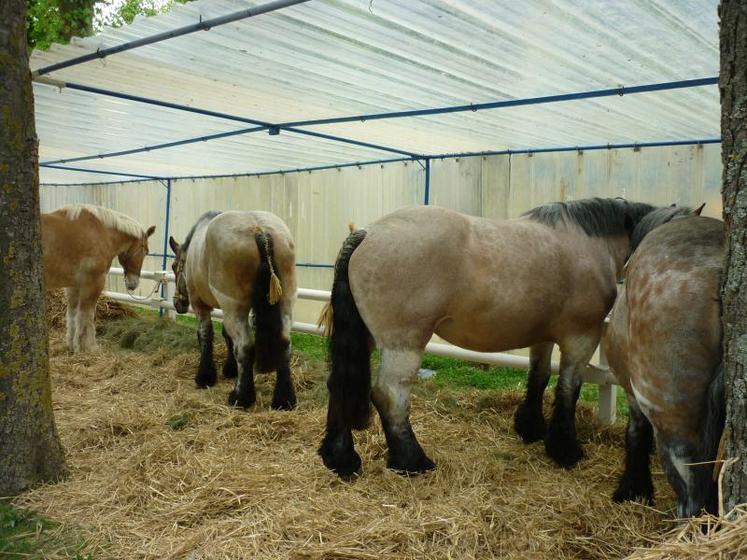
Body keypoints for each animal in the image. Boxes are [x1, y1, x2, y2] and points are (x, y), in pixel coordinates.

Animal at [41, 204, 156, 353]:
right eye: (145, 251)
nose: (133, 284)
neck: (100, 231)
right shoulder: (93, 283)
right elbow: (87, 316)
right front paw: (89, 347)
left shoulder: (74, 285)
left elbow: (73, 315)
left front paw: (73, 345)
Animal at [168, 210, 297, 410]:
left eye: (174, 267)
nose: (178, 302)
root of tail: (260, 231)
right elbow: (226, 335)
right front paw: (230, 369)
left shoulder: (200, 305)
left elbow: (205, 334)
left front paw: (205, 376)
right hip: (285, 302)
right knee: (284, 343)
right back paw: (284, 399)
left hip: (234, 307)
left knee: (245, 347)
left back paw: (241, 397)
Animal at [318, 197, 693, 477]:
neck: (589, 244)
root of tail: (367, 233)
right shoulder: (581, 338)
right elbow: (567, 390)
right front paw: (566, 450)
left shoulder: (542, 336)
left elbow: (538, 378)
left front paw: (531, 428)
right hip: (404, 344)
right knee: (390, 395)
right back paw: (412, 461)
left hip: (367, 338)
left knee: (339, 385)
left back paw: (340, 459)